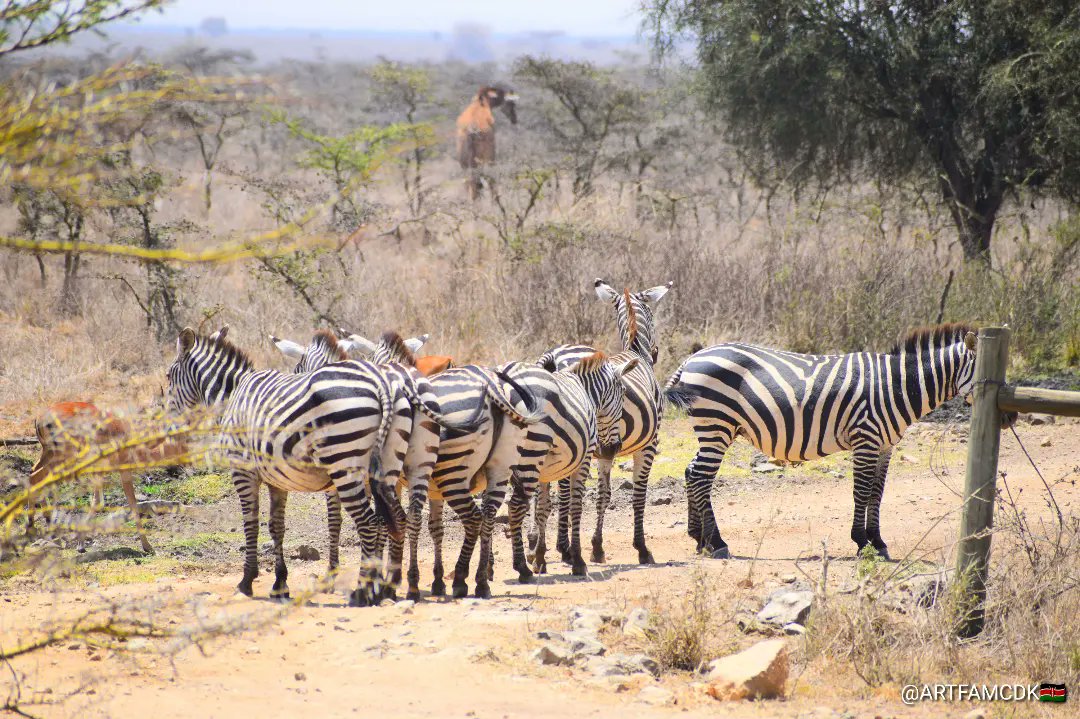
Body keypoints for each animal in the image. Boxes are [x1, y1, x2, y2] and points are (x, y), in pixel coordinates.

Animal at [165, 326, 416, 604]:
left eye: (168, 376)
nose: (169, 431)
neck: (232, 396)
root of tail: (381, 384)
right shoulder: (277, 479)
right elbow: (277, 527)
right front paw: (280, 584)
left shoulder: (242, 471)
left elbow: (250, 523)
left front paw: (246, 581)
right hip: (387, 468)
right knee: (396, 519)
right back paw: (385, 587)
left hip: (345, 466)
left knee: (369, 523)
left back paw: (362, 592)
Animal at [498, 349, 635, 578]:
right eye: (624, 393)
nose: (613, 449)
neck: (587, 392)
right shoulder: (583, 460)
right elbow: (575, 506)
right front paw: (577, 560)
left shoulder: (544, 469)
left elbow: (543, 509)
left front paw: (540, 558)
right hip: (531, 453)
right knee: (515, 507)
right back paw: (520, 568)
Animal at [535, 278, 669, 565]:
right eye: (652, 316)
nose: (655, 353)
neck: (635, 351)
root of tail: (553, 356)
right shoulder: (648, 445)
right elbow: (638, 496)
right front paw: (642, 548)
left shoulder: (606, 451)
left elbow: (603, 496)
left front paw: (597, 546)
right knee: (563, 492)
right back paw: (562, 548)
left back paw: (536, 547)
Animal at [660, 319, 984, 561]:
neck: (896, 385)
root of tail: (691, 358)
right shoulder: (865, 438)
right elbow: (862, 492)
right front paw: (861, 541)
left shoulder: (885, 446)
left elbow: (877, 494)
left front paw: (878, 542)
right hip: (717, 424)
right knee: (701, 477)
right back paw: (717, 542)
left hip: (711, 429)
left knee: (691, 471)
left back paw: (699, 539)